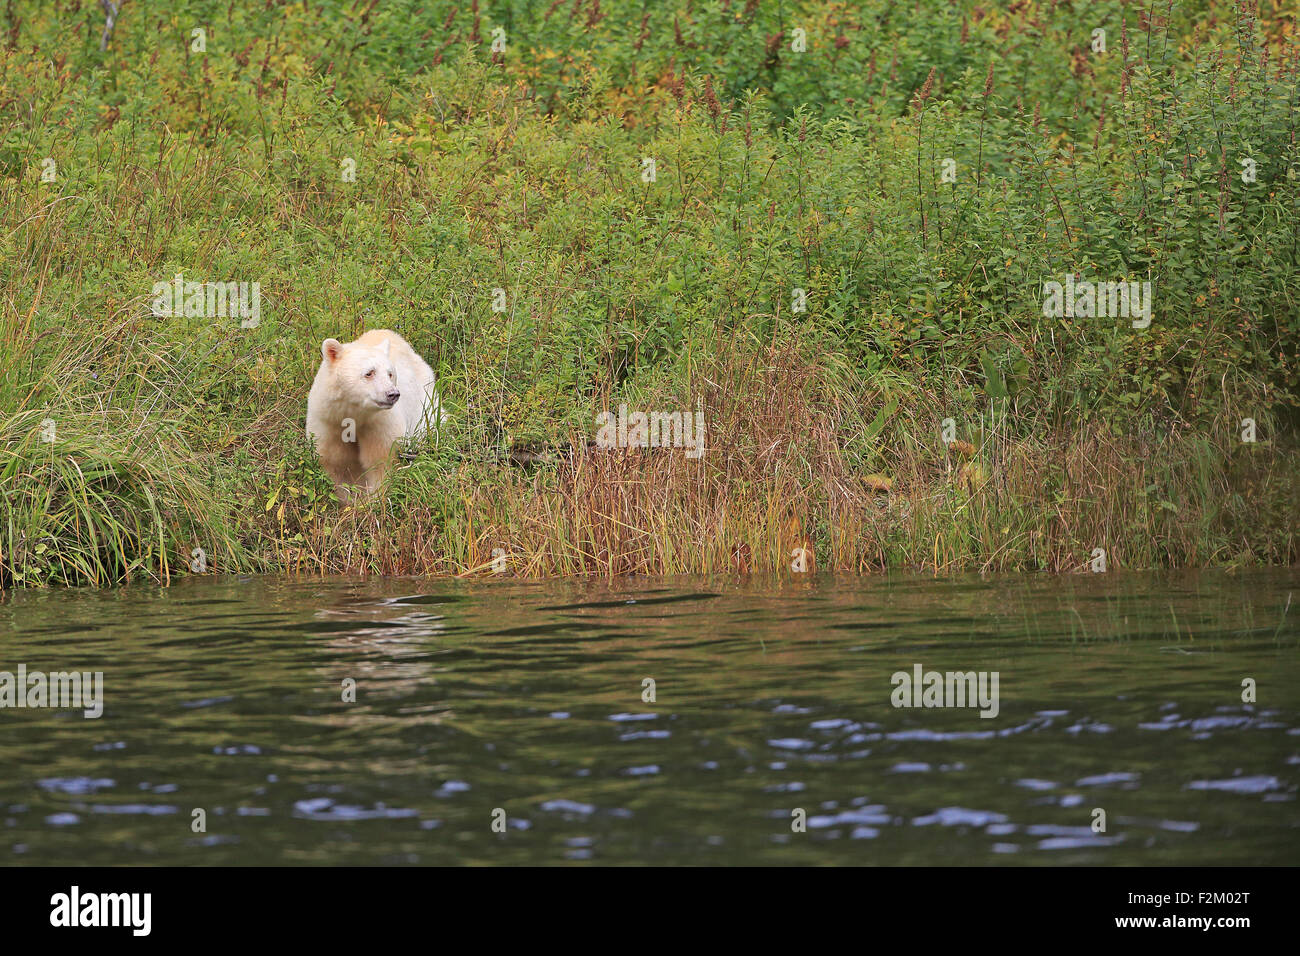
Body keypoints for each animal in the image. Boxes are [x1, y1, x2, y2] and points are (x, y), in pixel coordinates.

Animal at [305, 329, 446, 501]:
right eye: (369, 373)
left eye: (390, 374)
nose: (393, 394)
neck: (355, 414)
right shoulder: (327, 422)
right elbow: (338, 464)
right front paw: (350, 500)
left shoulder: (379, 423)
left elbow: (380, 461)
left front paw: (373, 500)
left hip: (424, 402)